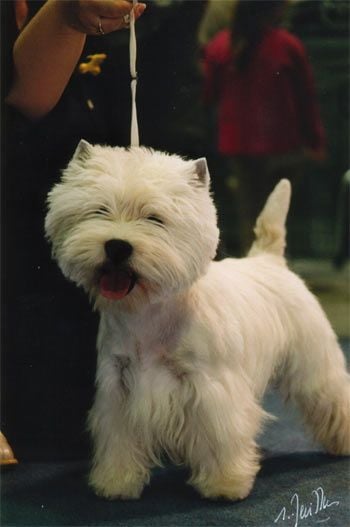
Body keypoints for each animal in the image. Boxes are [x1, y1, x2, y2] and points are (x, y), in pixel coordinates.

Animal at [45, 142, 348, 502]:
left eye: (155, 218)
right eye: (100, 210)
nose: (117, 247)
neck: (148, 313)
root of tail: (269, 260)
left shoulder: (211, 388)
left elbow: (220, 434)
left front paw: (225, 484)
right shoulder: (118, 387)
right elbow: (119, 438)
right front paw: (116, 481)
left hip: (313, 363)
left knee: (332, 394)